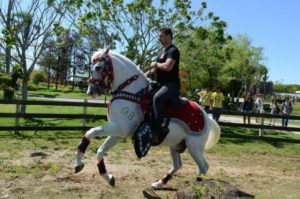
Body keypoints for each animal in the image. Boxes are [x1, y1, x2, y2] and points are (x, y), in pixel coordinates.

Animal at [74, 47, 220, 188]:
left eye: (98, 67)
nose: (91, 91)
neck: (131, 92)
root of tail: (206, 116)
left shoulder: (120, 129)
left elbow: (91, 131)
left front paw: (79, 162)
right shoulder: (117, 133)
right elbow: (100, 150)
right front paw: (107, 177)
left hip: (194, 147)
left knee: (204, 167)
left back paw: (199, 187)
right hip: (175, 145)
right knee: (178, 165)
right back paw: (159, 183)